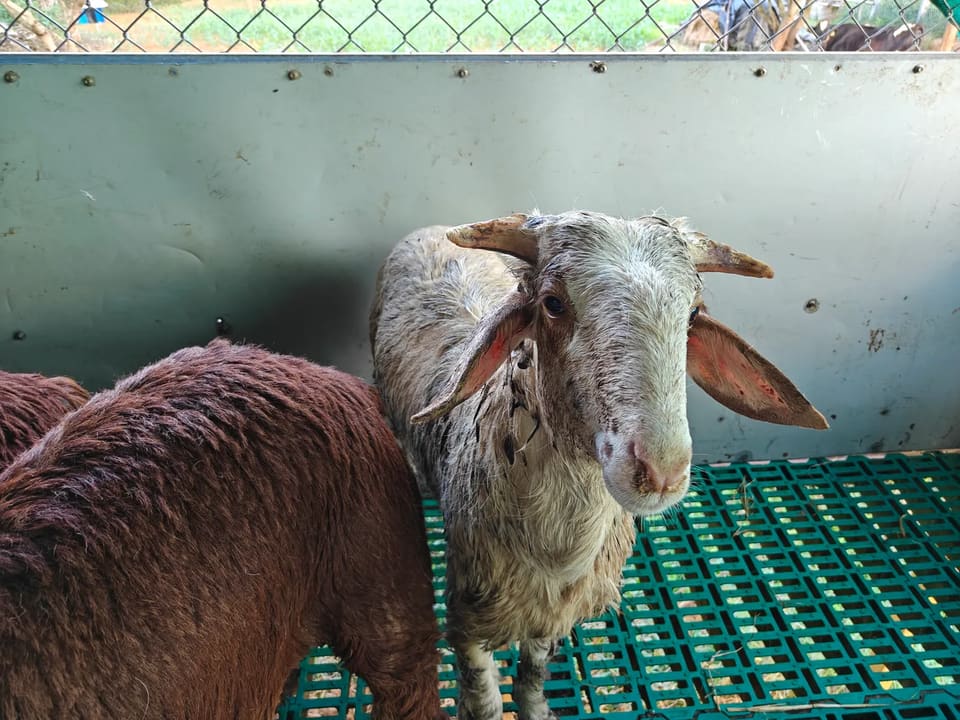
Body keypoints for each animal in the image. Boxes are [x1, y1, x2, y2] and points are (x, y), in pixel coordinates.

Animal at [369, 210, 827, 720]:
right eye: (552, 304)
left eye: (692, 314)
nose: (662, 472)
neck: (559, 554)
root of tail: (431, 229)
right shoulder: (470, 618)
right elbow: (485, 701)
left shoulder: (553, 615)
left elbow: (532, 678)